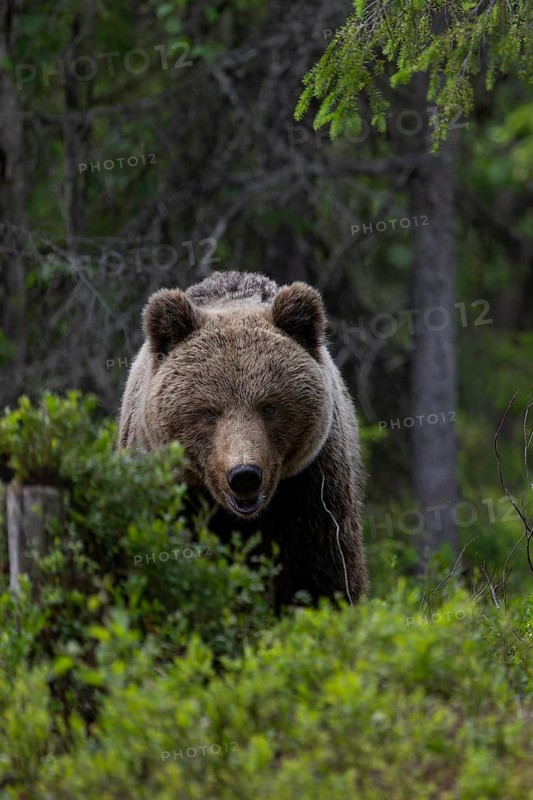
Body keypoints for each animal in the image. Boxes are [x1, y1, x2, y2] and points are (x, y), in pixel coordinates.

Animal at [118, 271, 367, 607]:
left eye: (269, 406)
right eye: (209, 412)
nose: (244, 475)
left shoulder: (312, 488)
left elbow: (323, 574)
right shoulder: (170, 489)